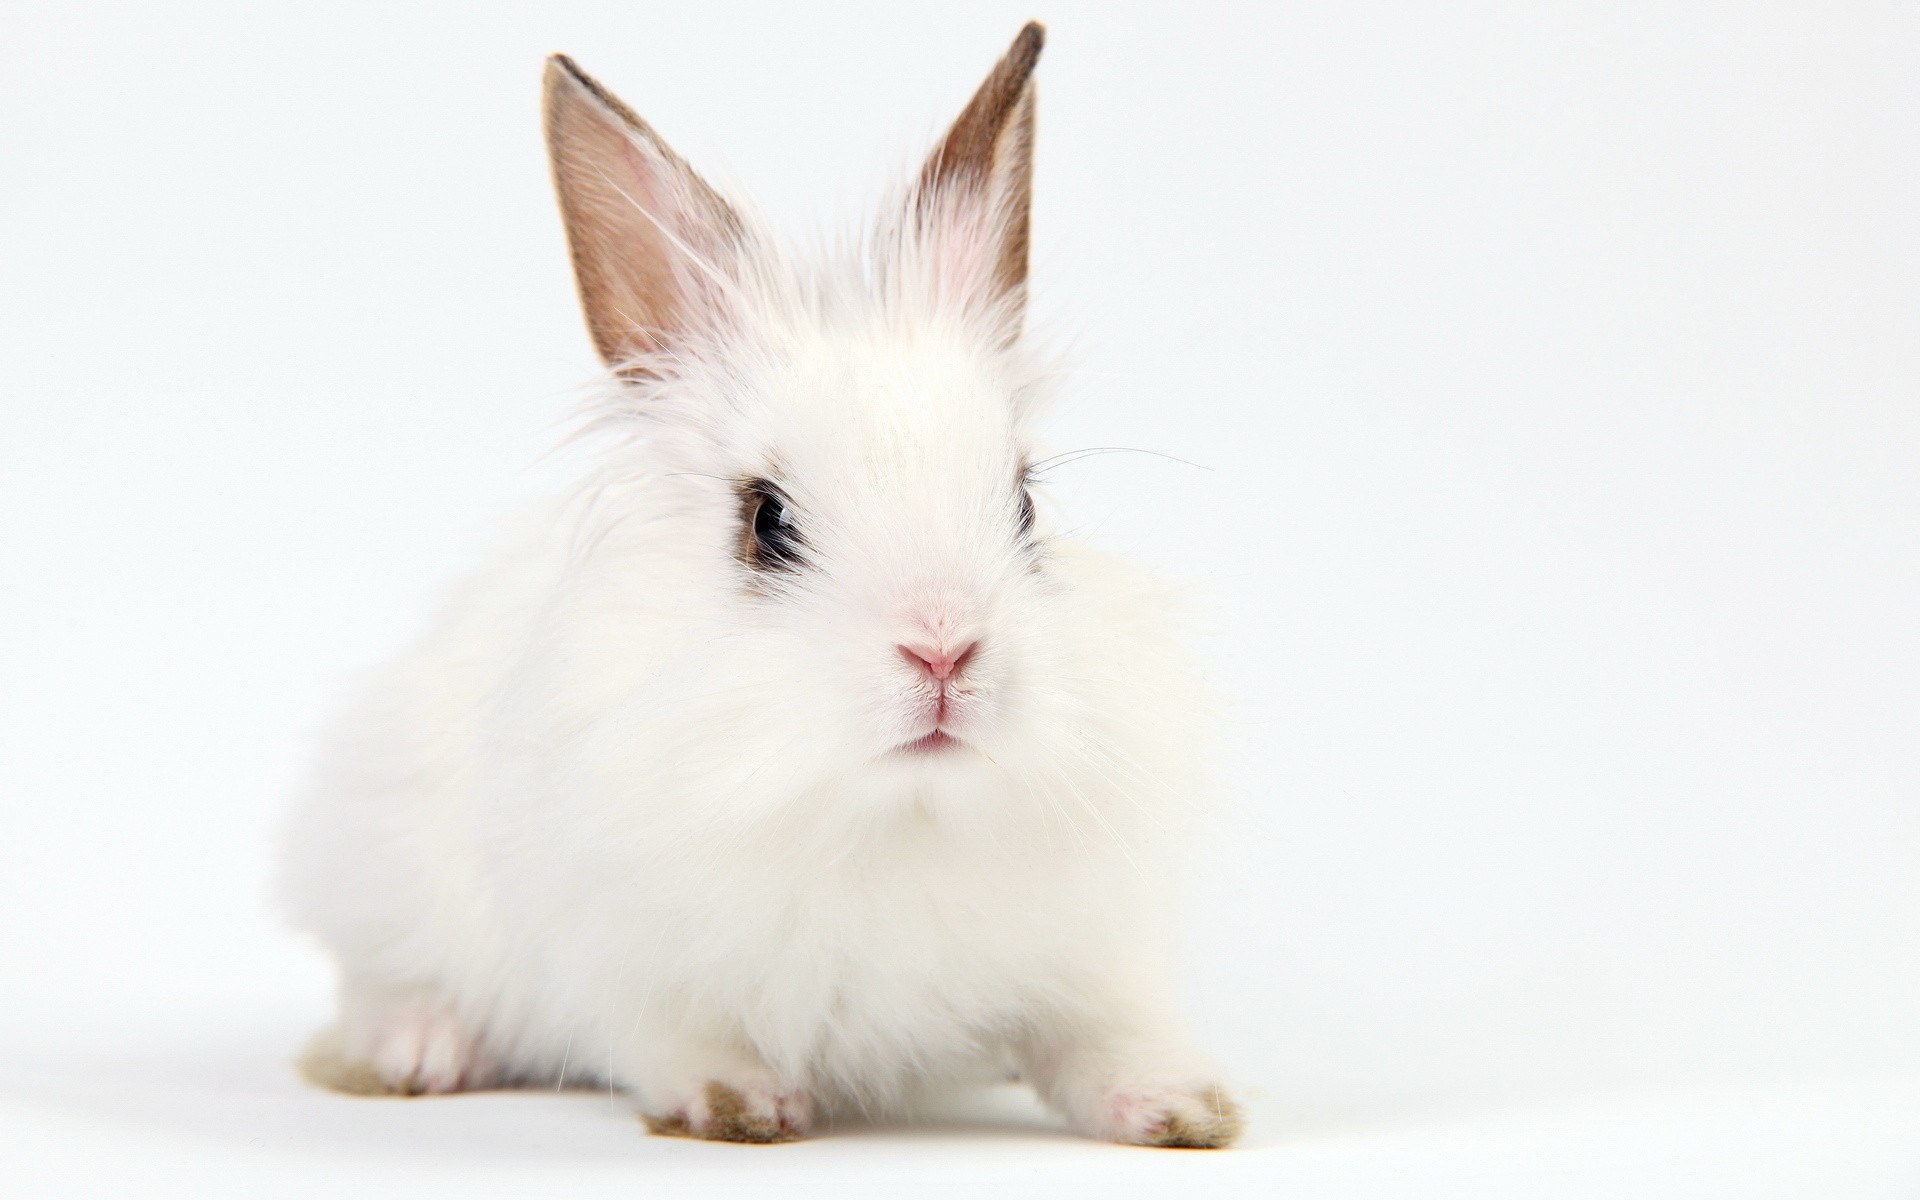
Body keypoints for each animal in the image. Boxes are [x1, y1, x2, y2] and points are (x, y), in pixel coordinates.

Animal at [280, 22, 1242, 1149]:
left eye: (1025, 506)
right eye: (766, 522)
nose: (944, 650)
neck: (890, 817)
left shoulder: (1086, 959)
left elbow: (1099, 1037)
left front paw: (1184, 1106)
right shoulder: (615, 957)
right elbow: (664, 1034)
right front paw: (738, 1101)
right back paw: (416, 1050)